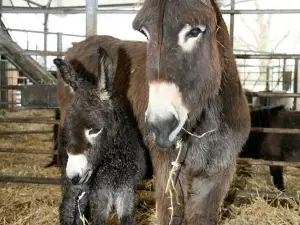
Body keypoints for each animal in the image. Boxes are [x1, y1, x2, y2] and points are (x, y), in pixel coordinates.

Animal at [53, 46, 149, 224]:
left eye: (95, 130)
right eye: (68, 127)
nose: (74, 175)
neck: (115, 160)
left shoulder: (127, 190)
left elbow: (126, 218)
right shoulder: (100, 192)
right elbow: (98, 219)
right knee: (68, 208)